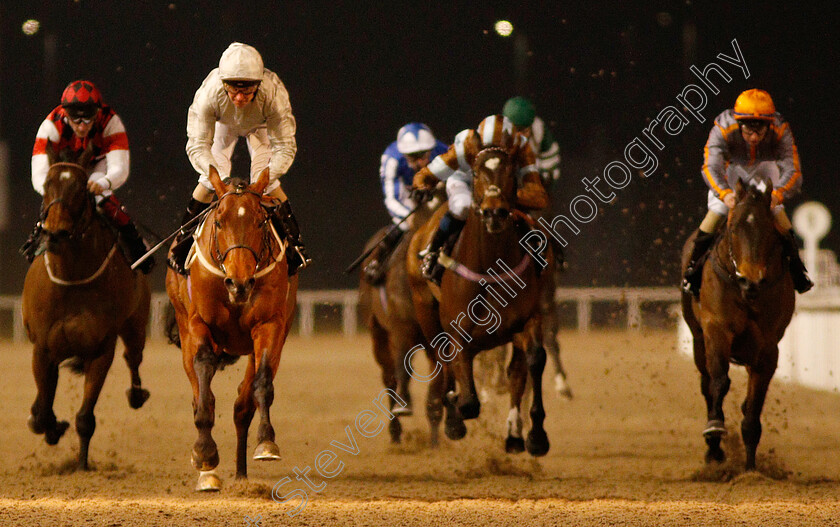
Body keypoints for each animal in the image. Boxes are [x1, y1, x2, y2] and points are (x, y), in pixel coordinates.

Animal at [22, 143, 151, 470]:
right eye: (47, 185)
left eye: (81, 188)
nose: (55, 232)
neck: (71, 278)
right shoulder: (43, 349)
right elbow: (43, 411)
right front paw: (51, 426)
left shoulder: (100, 349)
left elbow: (85, 418)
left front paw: (81, 464)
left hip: (136, 324)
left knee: (133, 358)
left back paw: (137, 393)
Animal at [164, 166, 296, 490]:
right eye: (220, 221)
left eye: (261, 221)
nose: (239, 283)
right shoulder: (198, 325)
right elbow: (204, 389)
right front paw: (205, 454)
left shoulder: (270, 325)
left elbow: (262, 384)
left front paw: (266, 442)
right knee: (200, 393)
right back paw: (208, 473)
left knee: (242, 406)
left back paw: (241, 473)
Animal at [406, 148, 552, 458]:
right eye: (475, 172)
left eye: (510, 171)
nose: (495, 212)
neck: (491, 268)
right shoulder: (456, 329)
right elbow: (467, 399)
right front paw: (454, 418)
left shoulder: (528, 319)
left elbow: (534, 360)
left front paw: (536, 436)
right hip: (425, 311)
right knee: (443, 361)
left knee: (516, 372)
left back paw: (513, 435)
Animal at [684, 177, 796, 470]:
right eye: (733, 229)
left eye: (769, 230)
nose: (750, 280)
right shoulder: (716, 330)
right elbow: (719, 382)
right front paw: (714, 432)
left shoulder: (768, 347)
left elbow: (754, 406)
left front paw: (751, 470)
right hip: (698, 340)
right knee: (706, 383)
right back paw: (713, 449)